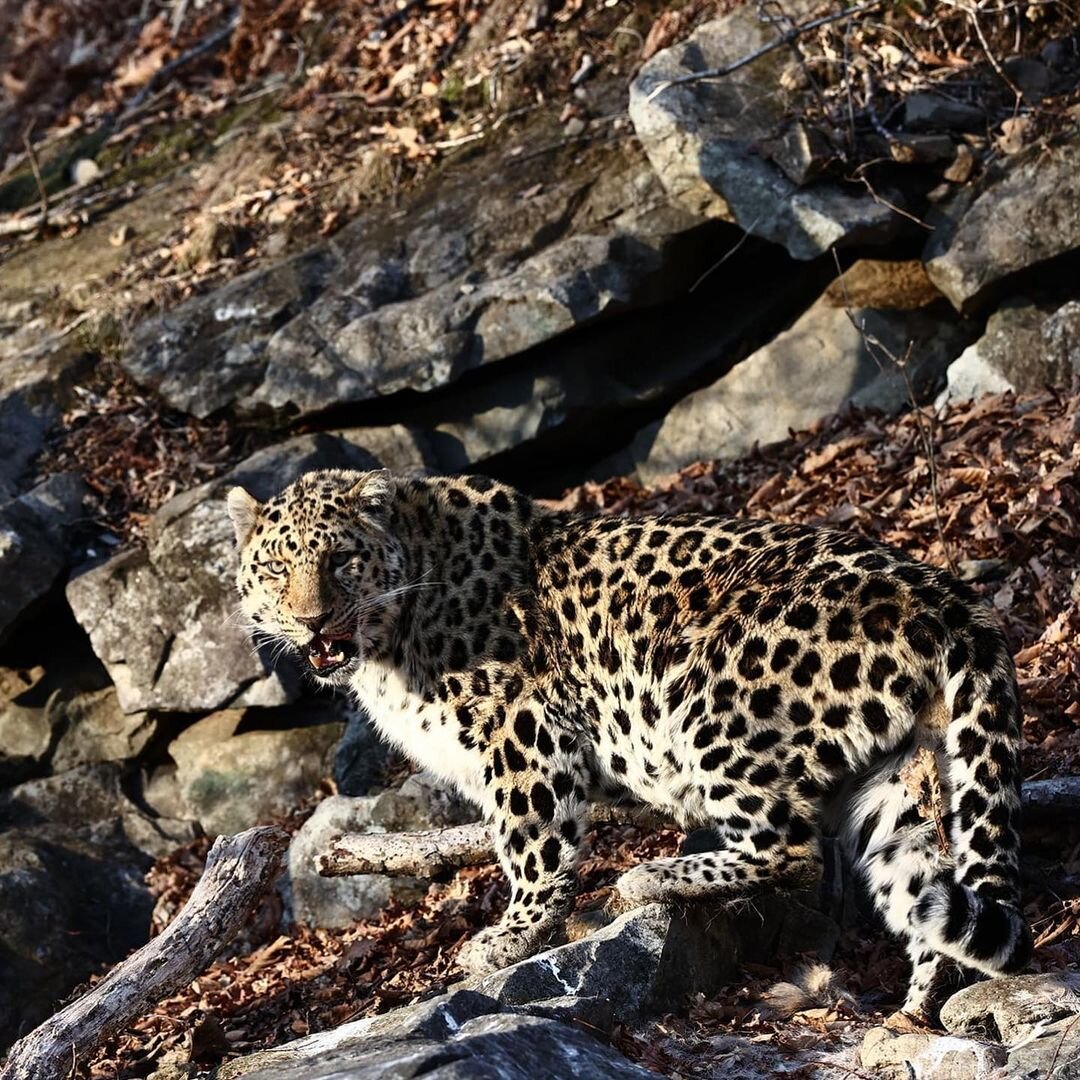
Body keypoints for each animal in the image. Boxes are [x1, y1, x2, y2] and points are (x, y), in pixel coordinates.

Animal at [225, 468, 1028, 1015]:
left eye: (340, 561)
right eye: (277, 569)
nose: (311, 621)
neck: (392, 639)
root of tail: (947, 595)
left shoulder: (522, 731)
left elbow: (532, 844)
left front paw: (512, 935)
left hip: (713, 701)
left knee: (791, 848)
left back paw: (652, 878)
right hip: (896, 773)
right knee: (920, 881)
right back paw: (915, 1009)